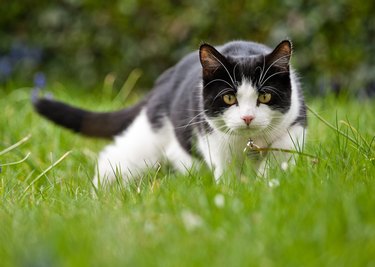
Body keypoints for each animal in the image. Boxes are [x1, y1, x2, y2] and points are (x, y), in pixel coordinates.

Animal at [33, 39, 306, 187]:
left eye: (265, 96)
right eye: (229, 97)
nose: (247, 118)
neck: (248, 142)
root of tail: (163, 81)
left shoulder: (295, 123)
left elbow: (281, 152)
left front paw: (268, 181)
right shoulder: (213, 138)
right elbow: (227, 171)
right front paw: (235, 190)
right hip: (149, 138)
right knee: (114, 156)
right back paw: (99, 193)